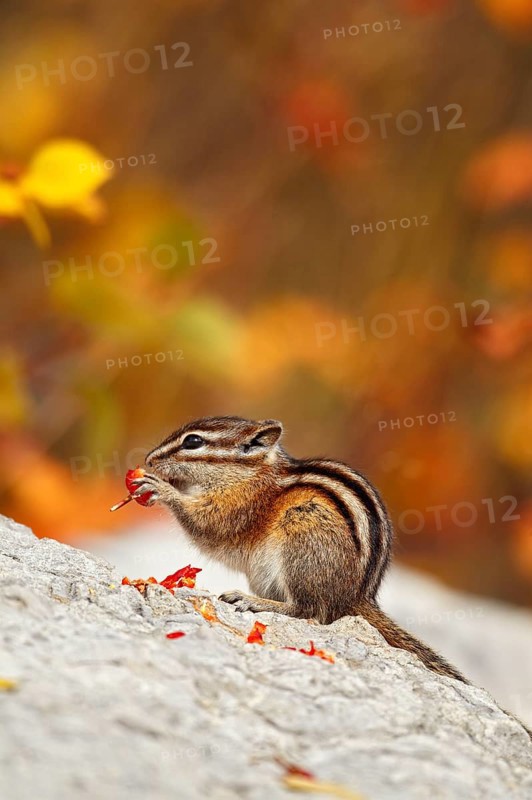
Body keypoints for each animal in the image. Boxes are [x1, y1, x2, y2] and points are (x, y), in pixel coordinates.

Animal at [132, 414, 470, 683]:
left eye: (193, 441)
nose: (149, 459)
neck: (250, 474)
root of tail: (356, 598)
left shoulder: (237, 507)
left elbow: (207, 525)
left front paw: (161, 488)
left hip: (303, 538)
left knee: (309, 610)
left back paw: (252, 601)